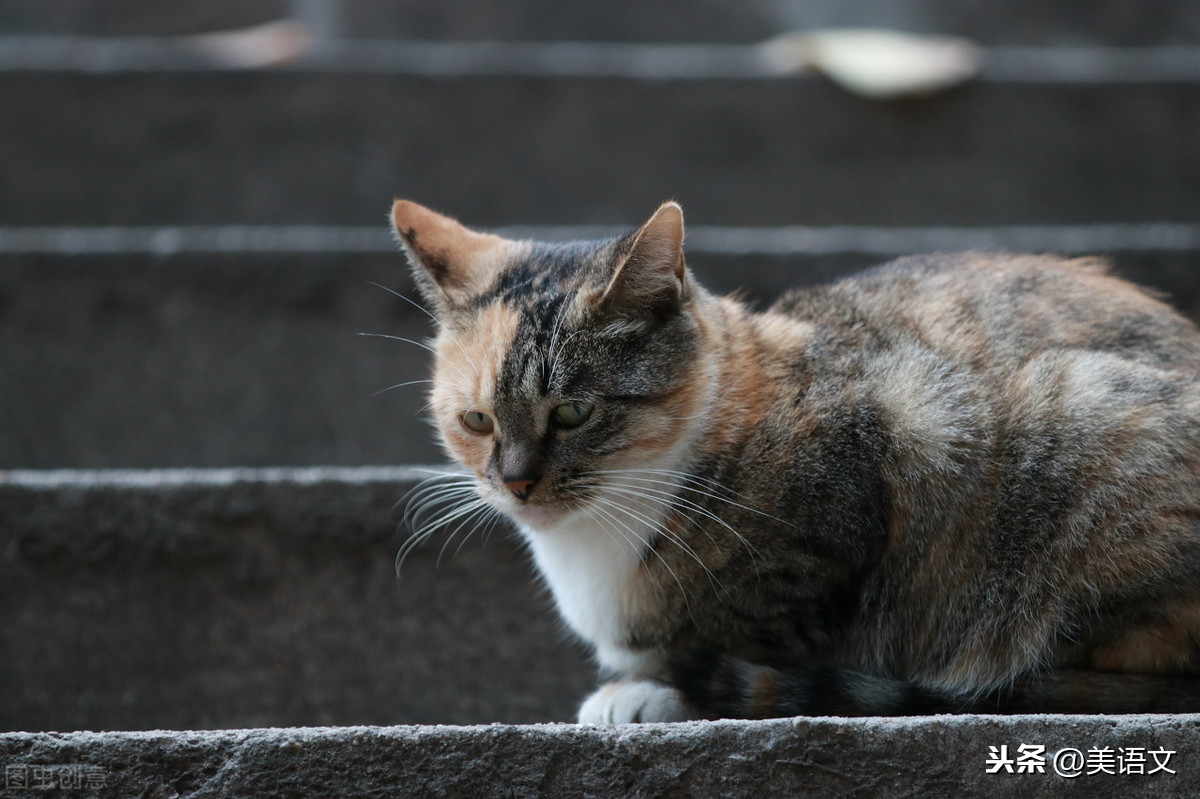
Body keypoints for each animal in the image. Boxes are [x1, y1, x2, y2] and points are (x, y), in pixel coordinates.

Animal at [388, 199, 1200, 719]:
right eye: (476, 420)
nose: (516, 482)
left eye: (573, 413)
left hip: (1083, 414)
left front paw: (652, 692)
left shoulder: (886, 452)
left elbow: (742, 637)